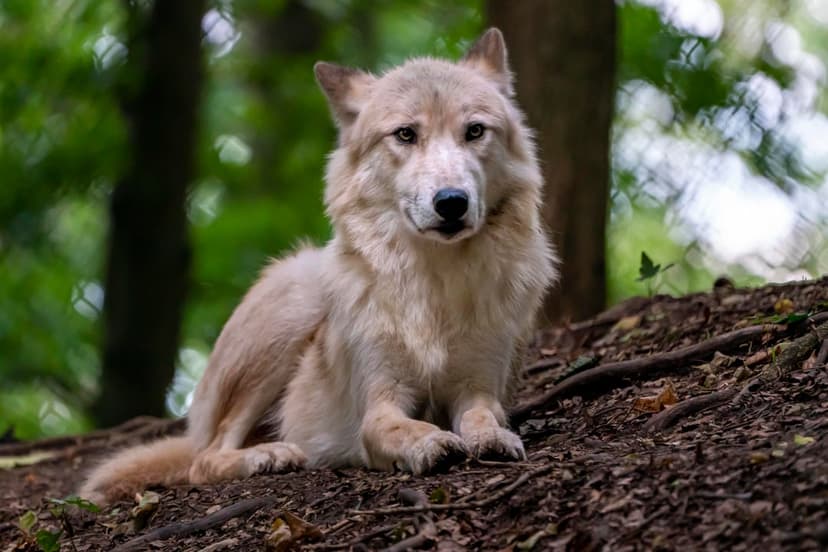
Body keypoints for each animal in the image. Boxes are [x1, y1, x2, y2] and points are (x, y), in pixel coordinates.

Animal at [80, 28, 557, 505]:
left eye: (474, 131)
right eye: (405, 134)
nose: (452, 202)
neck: (435, 283)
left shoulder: (480, 386)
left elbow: (483, 416)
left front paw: (492, 437)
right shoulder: (380, 399)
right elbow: (393, 427)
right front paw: (430, 441)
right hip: (295, 305)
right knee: (205, 458)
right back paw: (270, 455)